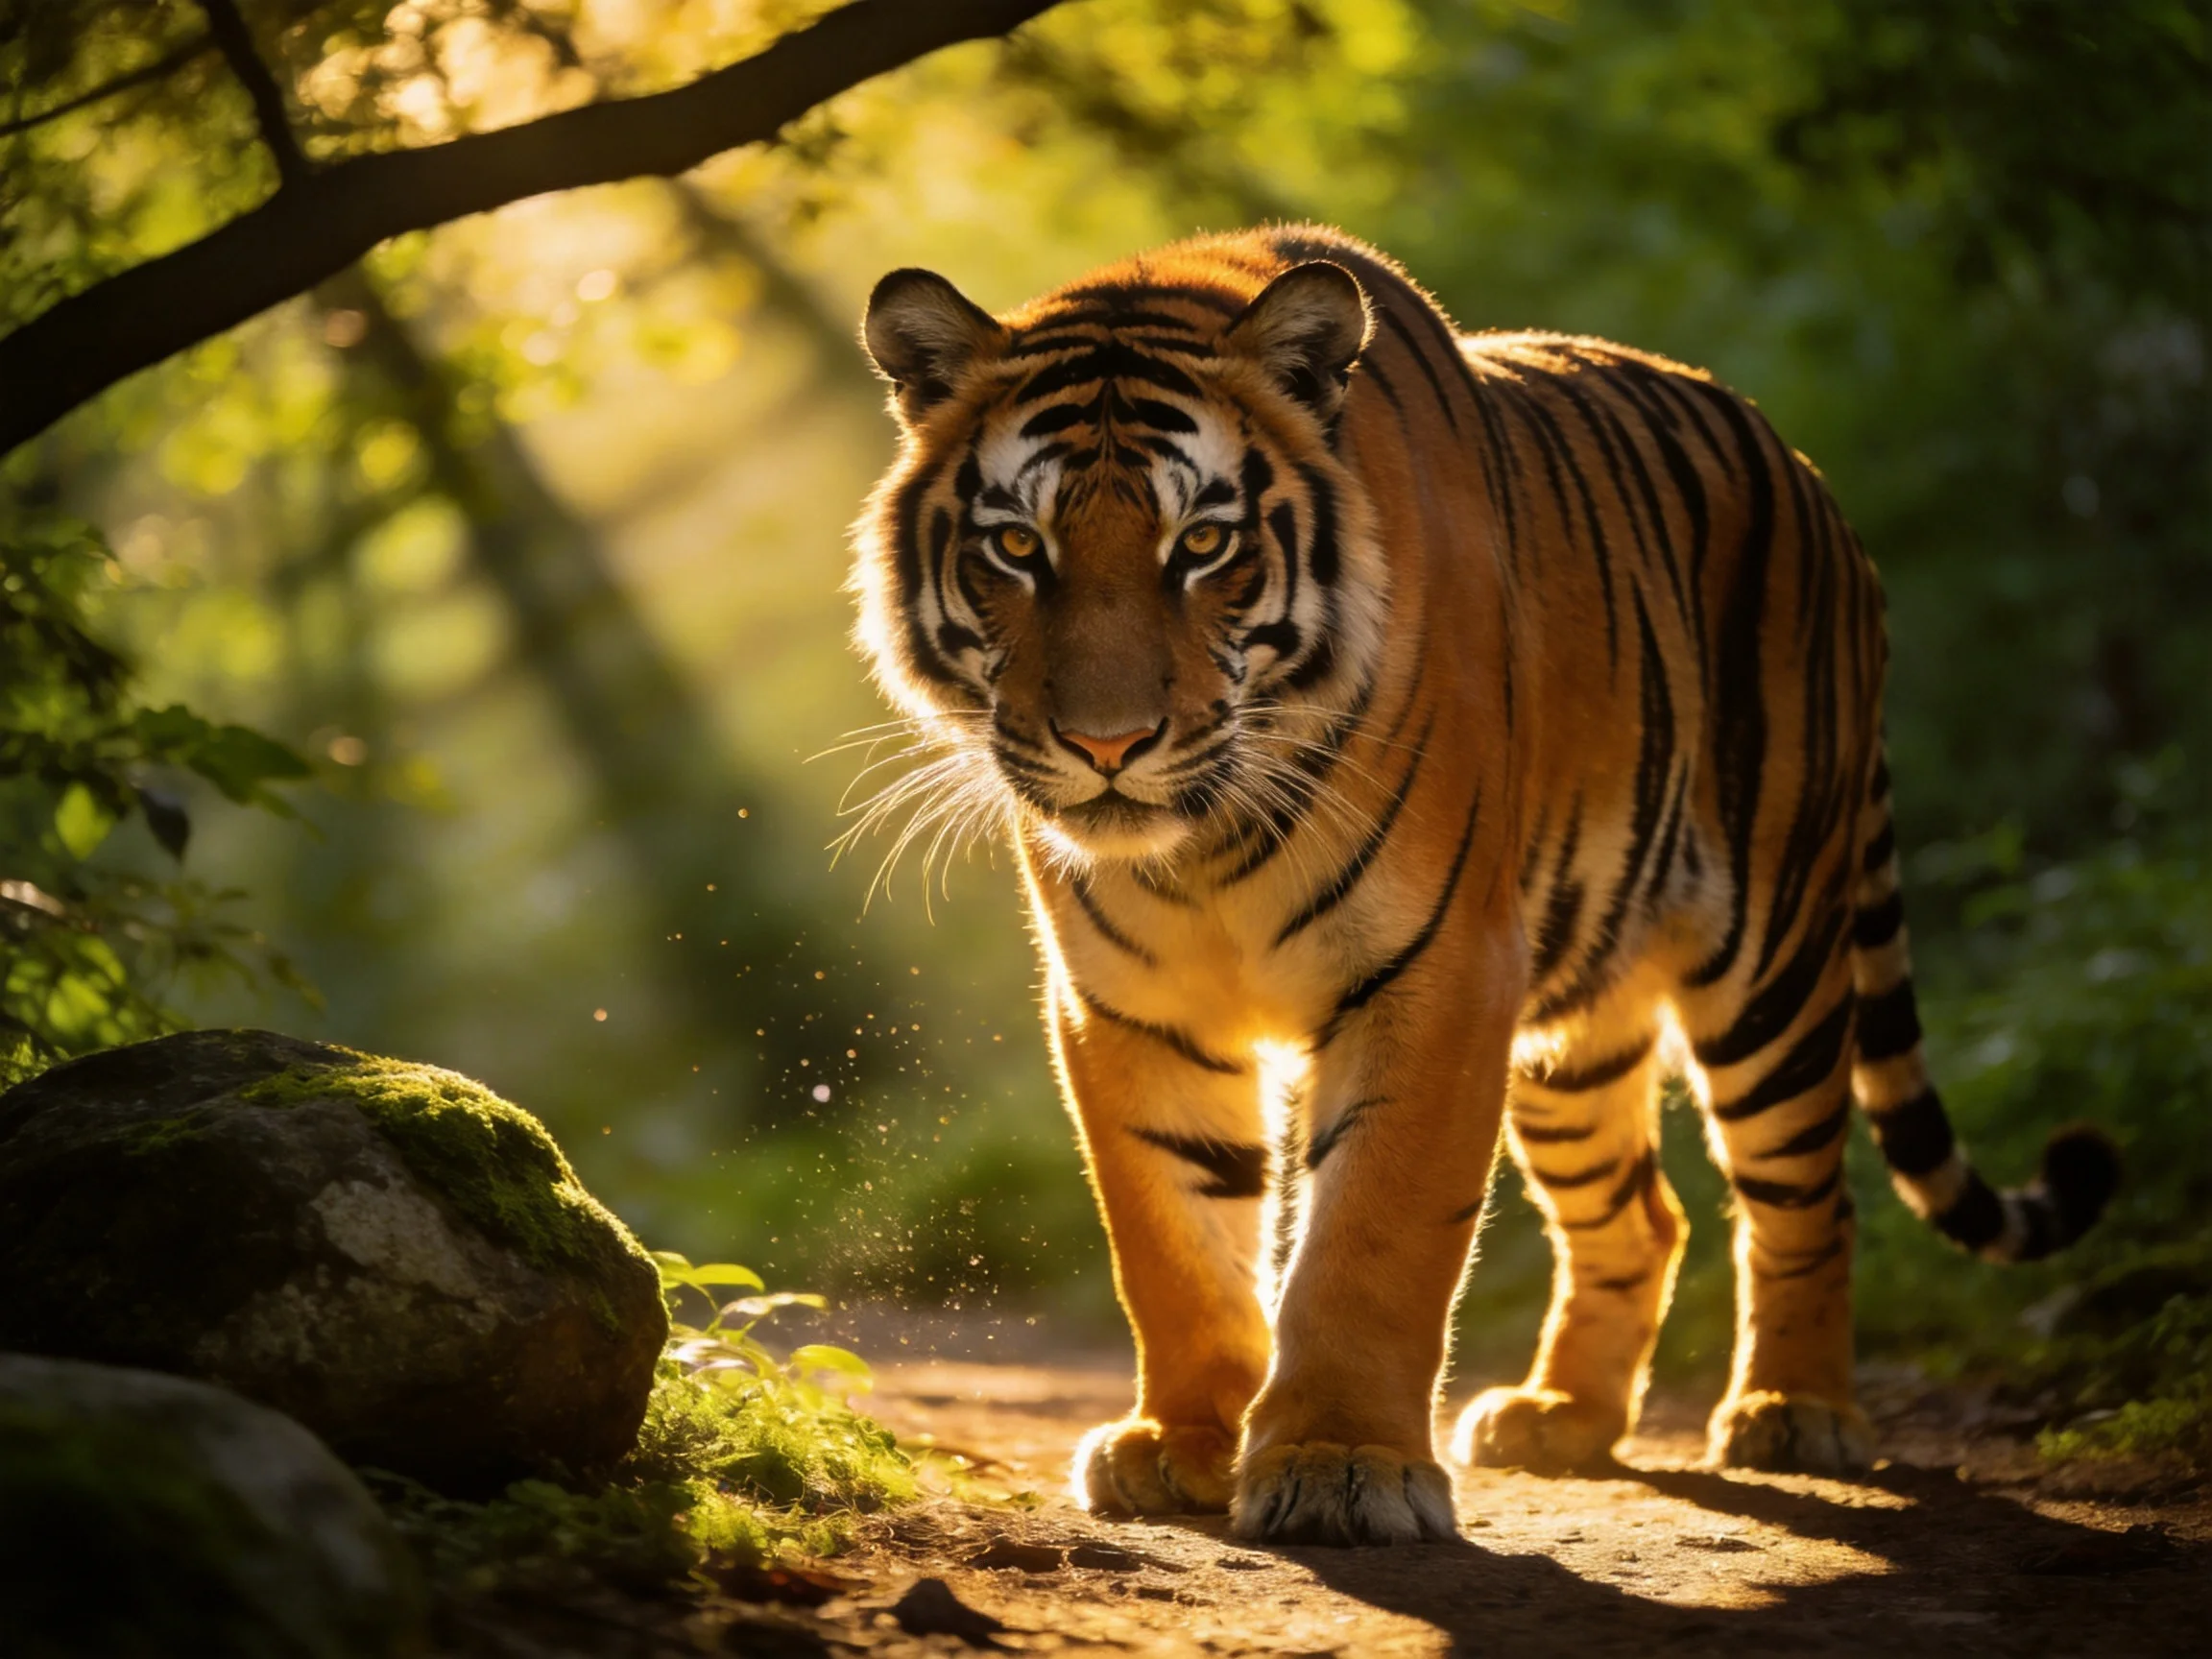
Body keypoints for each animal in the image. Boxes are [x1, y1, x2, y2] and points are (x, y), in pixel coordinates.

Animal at [848, 224, 2118, 1547]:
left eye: (1202, 545)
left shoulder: (1439, 967)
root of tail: (1815, 484)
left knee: (1807, 1193)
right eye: (1017, 546)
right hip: (1571, 1030)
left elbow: (1375, 1234)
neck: (1208, 847)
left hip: (1773, 963)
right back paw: (1561, 1417)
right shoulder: (1130, 1005)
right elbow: (1173, 1234)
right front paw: (1180, 1443)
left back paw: (1795, 1413)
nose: (1108, 745)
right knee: (1641, 1215)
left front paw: (1341, 1465)